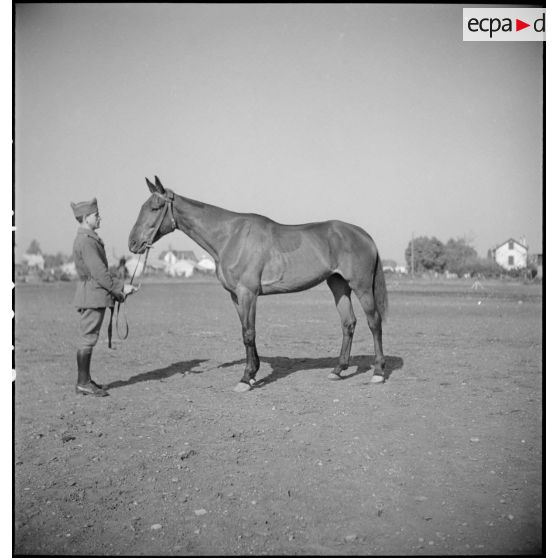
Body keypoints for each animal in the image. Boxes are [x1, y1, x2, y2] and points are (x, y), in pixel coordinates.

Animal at [129, 176, 390, 394]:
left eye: (155, 207)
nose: (133, 243)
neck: (230, 236)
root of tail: (363, 235)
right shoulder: (236, 296)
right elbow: (246, 331)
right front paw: (253, 373)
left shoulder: (248, 293)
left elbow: (249, 333)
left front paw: (245, 379)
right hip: (338, 285)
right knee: (348, 323)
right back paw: (338, 370)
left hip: (361, 287)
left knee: (374, 322)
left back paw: (378, 372)